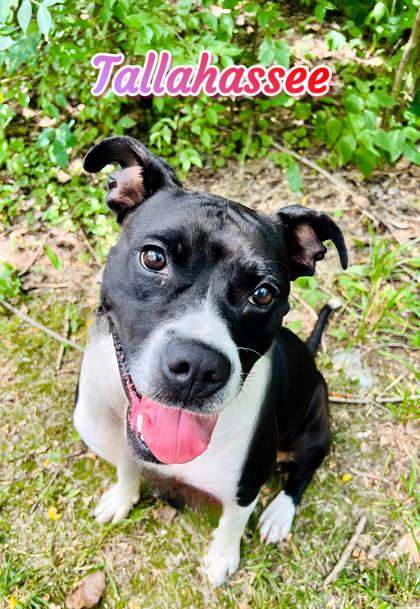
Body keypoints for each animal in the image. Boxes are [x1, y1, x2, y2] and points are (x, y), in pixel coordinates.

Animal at [73, 137, 348, 584]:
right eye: (154, 258)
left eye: (263, 294)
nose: (199, 367)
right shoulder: (119, 444)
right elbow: (127, 468)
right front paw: (122, 497)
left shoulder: (245, 485)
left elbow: (233, 522)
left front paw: (222, 557)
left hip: (314, 432)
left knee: (302, 474)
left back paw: (279, 514)